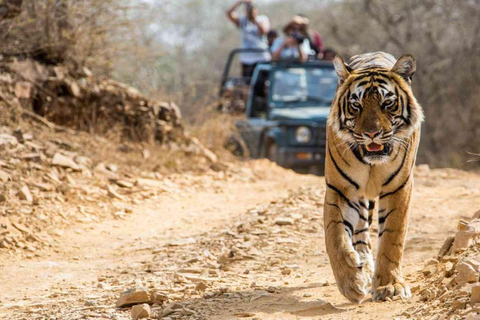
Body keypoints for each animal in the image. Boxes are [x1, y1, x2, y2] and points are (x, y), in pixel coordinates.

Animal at [324, 50, 422, 302]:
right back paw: (363, 267)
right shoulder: (340, 189)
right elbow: (335, 236)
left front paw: (390, 286)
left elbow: (392, 238)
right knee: (360, 232)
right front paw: (351, 282)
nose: (371, 134)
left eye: (387, 103)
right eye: (356, 105)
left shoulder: (399, 187)